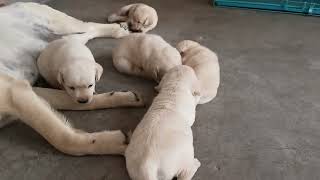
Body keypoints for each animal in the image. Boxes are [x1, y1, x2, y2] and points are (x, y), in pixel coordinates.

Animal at [0, 2, 144, 155]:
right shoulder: (25, 89)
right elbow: (69, 101)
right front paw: (124, 97)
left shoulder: (14, 92)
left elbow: (62, 139)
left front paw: (117, 144)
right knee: (78, 36)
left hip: (61, 24)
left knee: (89, 26)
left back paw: (118, 30)